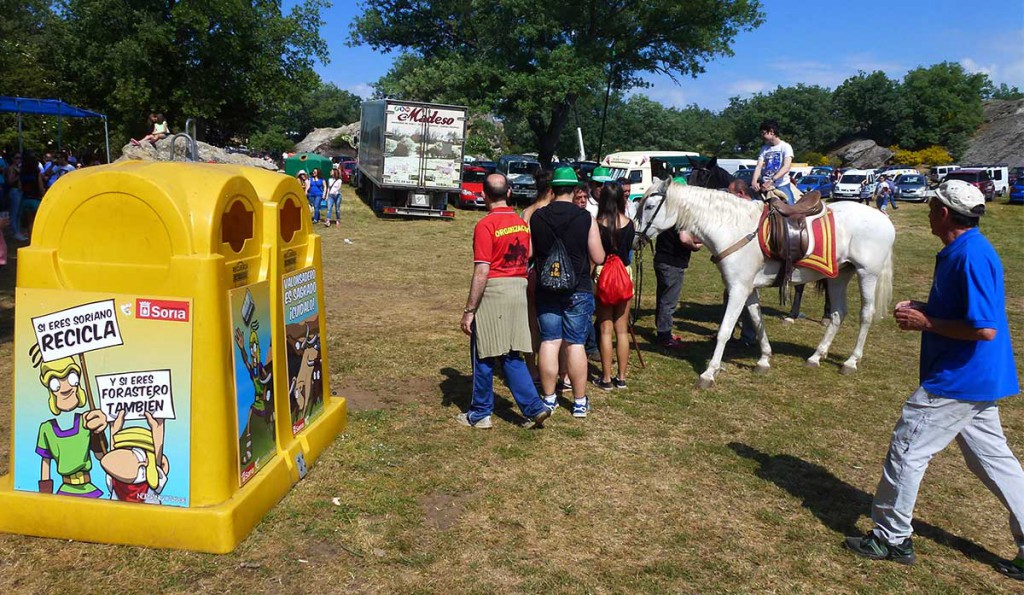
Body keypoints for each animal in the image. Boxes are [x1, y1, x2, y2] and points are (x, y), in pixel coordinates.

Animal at [634, 178, 892, 387]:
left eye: (649, 206)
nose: (635, 239)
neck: (733, 228)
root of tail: (884, 220)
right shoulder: (747, 289)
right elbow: (758, 322)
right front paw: (764, 360)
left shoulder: (738, 289)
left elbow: (725, 330)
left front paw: (709, 373)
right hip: (839, 275)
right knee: (838, 313)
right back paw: (816, 356)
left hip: (867, 273)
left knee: (866, 314)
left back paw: (851, 361)